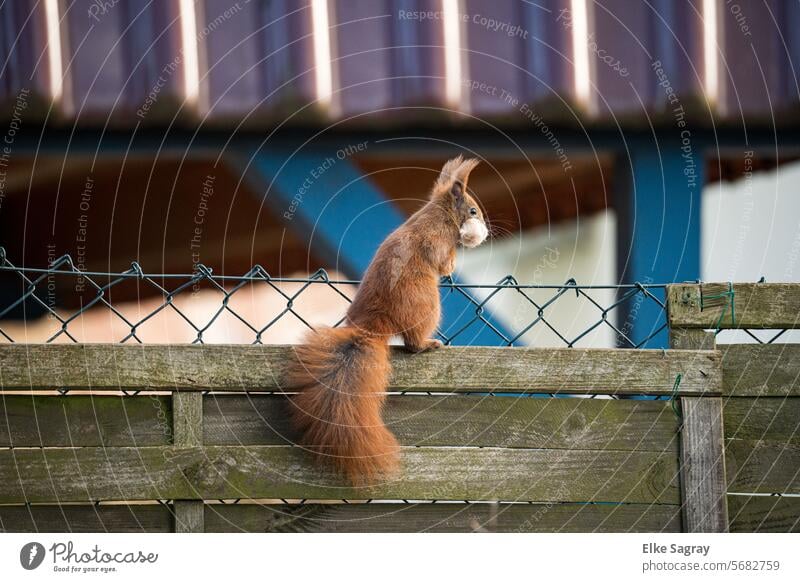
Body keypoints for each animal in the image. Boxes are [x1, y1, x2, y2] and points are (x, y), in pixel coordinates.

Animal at [286, 157, 488, 486]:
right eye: (472, 211)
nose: (485, 230)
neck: (439, 212)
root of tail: (371, 329)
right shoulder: (437, 238)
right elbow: (442, 261)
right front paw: (453, 263)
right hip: (426, 305)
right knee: (412, 343)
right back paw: (428, 344)